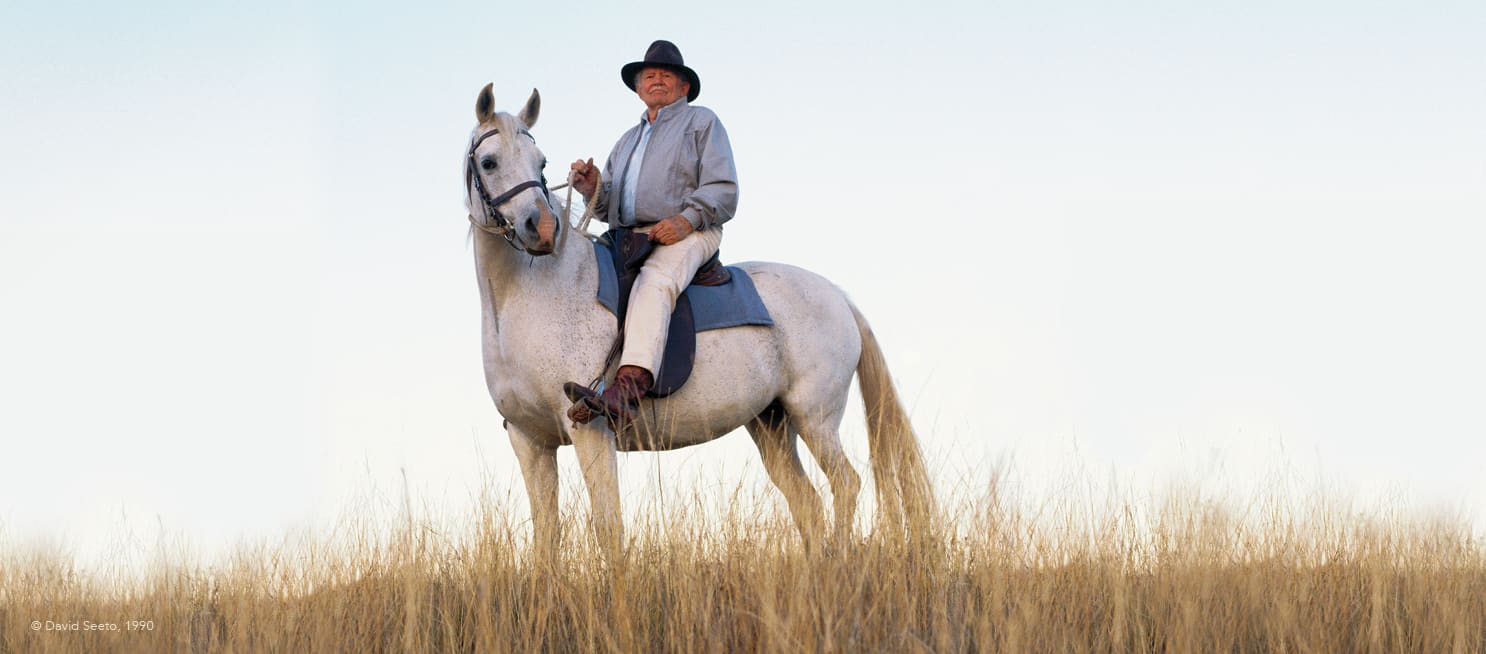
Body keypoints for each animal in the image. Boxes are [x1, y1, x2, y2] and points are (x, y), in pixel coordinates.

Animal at [463, 82, 927, 552]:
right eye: (489, 161)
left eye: (540, 162)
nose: (541, 230)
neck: (533, 293)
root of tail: (838, 297)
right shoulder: (531, 440)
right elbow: (546, 535)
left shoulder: (590, 431)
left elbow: (608, 527)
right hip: (771, 426)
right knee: (807, 504)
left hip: (814, 416)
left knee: (845, 484)